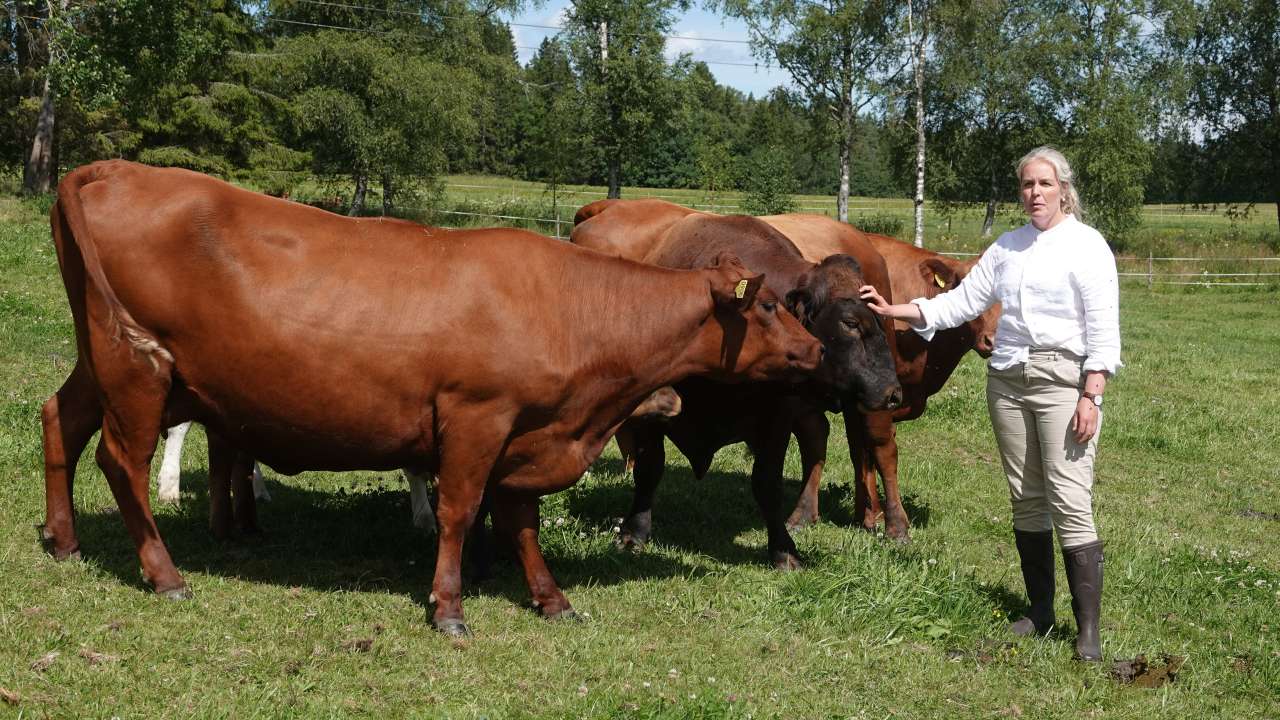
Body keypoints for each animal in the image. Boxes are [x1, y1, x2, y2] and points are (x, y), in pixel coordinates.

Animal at [42, 161, 819, 632]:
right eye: (769, 307)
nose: (814, 351)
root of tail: (116, 168)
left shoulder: (527, 437)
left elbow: (521, 525)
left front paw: (550, 598)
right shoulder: (478, 418)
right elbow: (458, 512)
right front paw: (449, 605)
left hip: (98, 361)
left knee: (60, 422)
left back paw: (64, 541)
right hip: (137, 371)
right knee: (120, 462)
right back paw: (164, 572)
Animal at [570, 199, 901, 566]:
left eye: (880, 319)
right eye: (850, 322)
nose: (892, 392)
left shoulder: (776, 419)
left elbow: (767, 483)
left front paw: (783, 550)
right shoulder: (648, 409)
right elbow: (649, 468)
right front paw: (634, 533)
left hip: (867, 409)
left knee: (881, 449)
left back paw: (893, 526)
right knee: (826, 439)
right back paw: (808, 516)